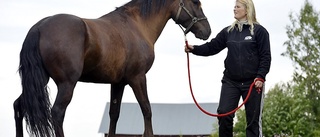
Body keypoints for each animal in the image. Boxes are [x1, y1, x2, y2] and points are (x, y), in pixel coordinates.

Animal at [13, 0, 211, 136]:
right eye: (195, 2)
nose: (207, 31)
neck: (137, 25)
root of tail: (39, 27)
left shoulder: (118, 83)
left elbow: (114, 114)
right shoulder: (138, 78)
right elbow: (146, 109)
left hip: (38, 82)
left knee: (19, 106)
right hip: (67, 84)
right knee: (57, 113)